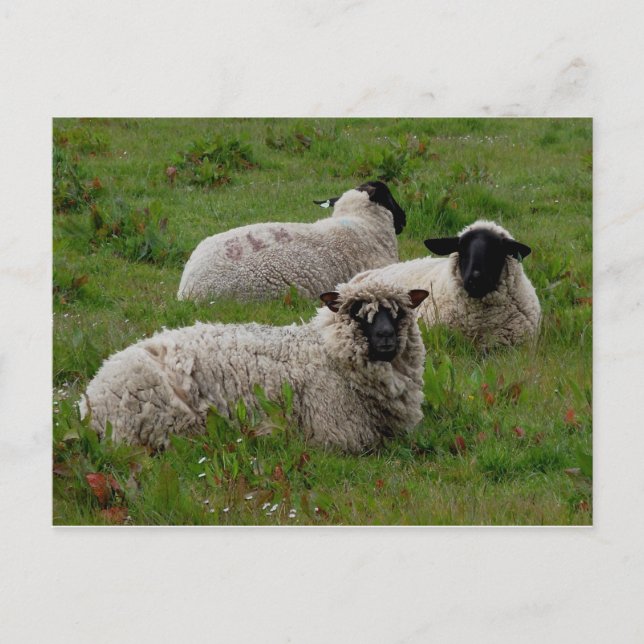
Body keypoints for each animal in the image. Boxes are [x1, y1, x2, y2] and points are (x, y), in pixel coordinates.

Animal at [80, 281, 429, 454]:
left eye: (399, 312)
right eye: (357, 312)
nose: (386, 337)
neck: (327, 350)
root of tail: (91, 397)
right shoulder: (338, 433)